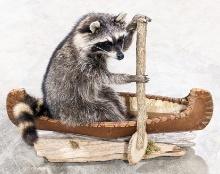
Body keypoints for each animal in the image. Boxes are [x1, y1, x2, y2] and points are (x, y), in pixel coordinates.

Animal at [12, 12, 149, 145]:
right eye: (107, 43)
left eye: (120, 39)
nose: (121, 56)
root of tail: (53, 112)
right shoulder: (84, 64)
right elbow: (105, 77)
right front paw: (131, 77)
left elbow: (125, 47)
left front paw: (132, 25)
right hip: (76, 109)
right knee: (106, 108)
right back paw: (120, 119)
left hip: (94, 95)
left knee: (112, 96)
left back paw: (124, 114)